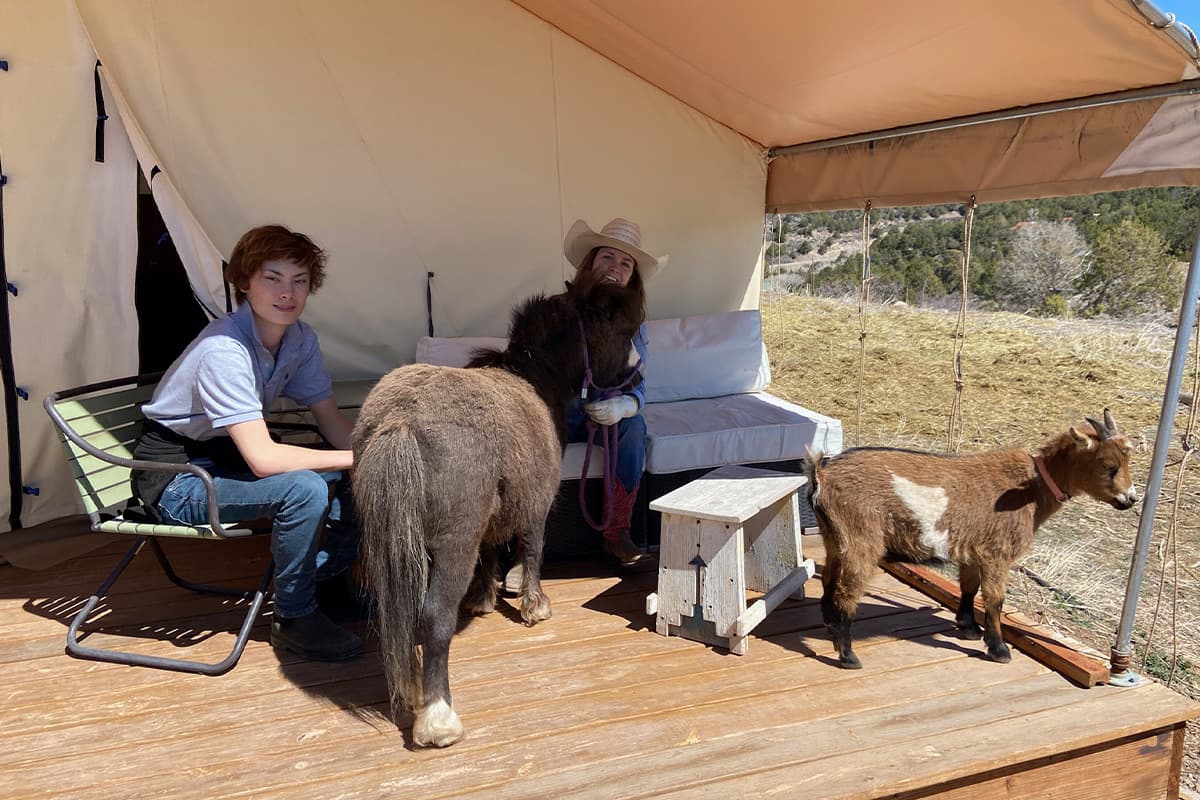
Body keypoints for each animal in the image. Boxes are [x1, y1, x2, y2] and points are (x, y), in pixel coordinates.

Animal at [351, 270, 643, 748]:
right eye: (620, 327)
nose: (636, 372)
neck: (533, 380)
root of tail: (401, 421)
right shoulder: (539, 503)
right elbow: (533, 548)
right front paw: (534, 605)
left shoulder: (491, 518)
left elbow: (492, 552)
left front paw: (484, 599)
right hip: (453, 547)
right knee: (434, 616)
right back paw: (438, 718)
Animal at [804, 409, 1137, 669]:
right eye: (1109, 466)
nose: (1130, 499)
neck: (1032, 488)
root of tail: (822, 474)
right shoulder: (997, 553)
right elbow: (995, 599)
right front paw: (999, 649)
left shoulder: (972, 550)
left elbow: (969, 587)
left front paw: (968, 626)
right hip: (862, 539)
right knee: (847, 591)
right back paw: (847, 655)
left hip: (834, 537)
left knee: (829, 578)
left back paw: (830, 625)